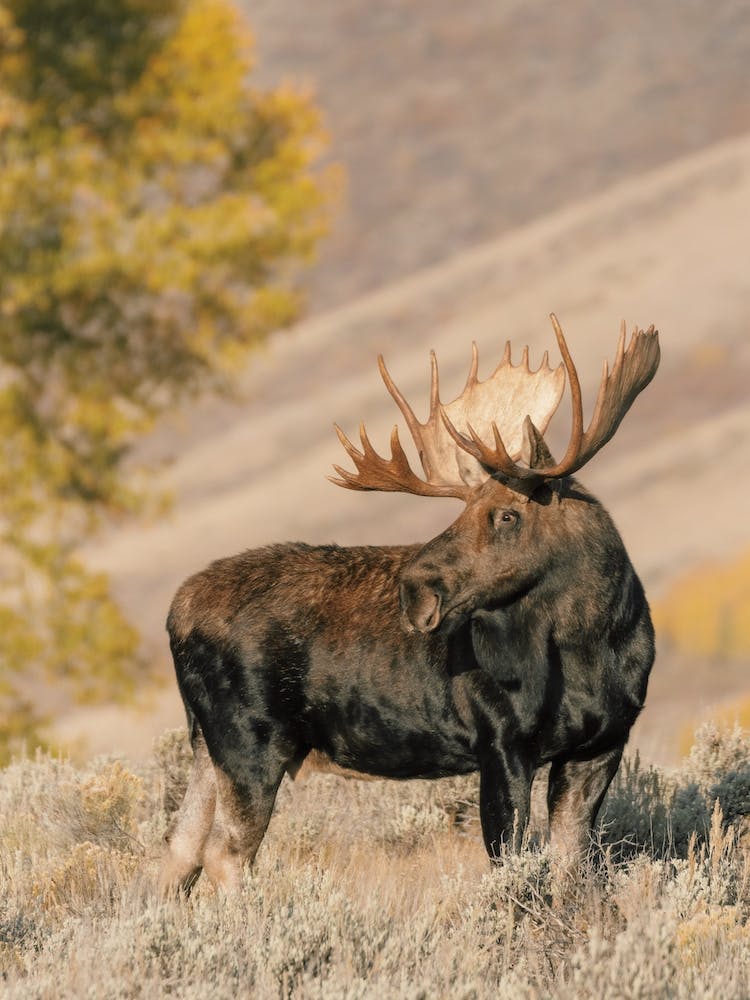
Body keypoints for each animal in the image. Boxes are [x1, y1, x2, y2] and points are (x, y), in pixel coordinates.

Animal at [160, 314, 660, 895]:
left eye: (507, 515)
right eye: (465, 513)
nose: (415, 586)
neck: (594, 645)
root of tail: (175, 614)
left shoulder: (603, 743)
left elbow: (573, 867)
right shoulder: (500, 741)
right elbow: (511, 869)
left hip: (206, 745)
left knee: (179, 850)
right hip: (250, 740)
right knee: (225, 854)